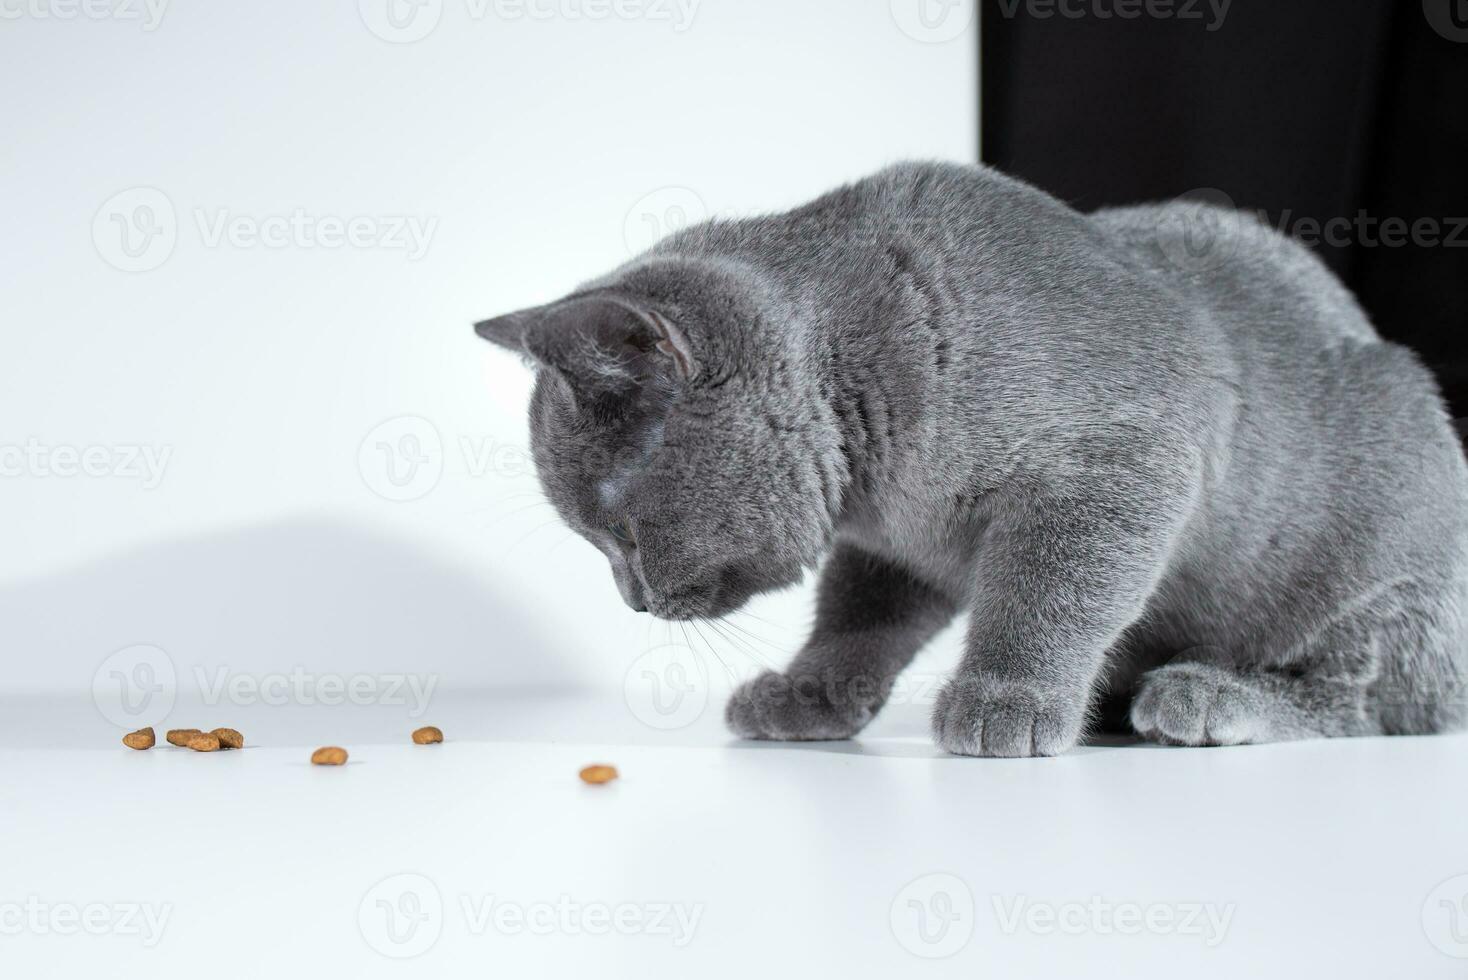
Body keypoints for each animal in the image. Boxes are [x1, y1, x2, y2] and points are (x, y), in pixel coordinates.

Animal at [475, 160, 1462, 757]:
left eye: (619, 532)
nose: (631, 600)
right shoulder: (894, 545)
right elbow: (856, 619)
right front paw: (811, 696)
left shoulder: (1116, 467)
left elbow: (1047, 592)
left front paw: (1008, 699)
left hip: (1386, 552)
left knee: (1371, 702)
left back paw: (1209, 697)